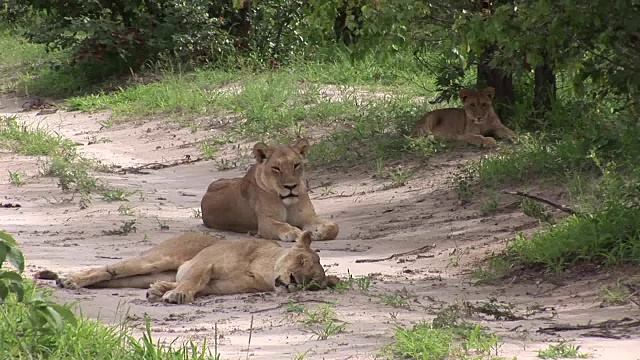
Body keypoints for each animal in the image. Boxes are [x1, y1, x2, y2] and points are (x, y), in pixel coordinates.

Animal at [201, 138, 340, 242]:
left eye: (296, 165)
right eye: (276, 168)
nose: (290, 186)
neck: (286, 203)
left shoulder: (308, 216)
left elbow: (334, 226)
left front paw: (318, 233)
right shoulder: (265, 222)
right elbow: (281, 225)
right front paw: (294, 231)